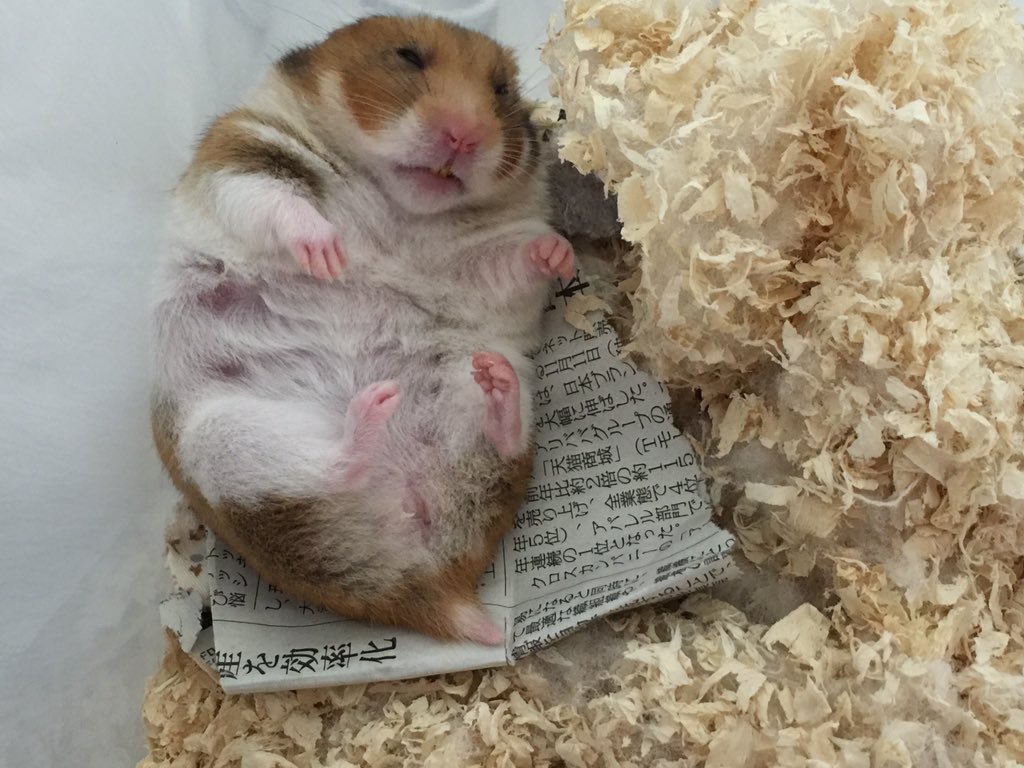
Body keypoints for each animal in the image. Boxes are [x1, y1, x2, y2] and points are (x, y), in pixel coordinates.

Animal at [150, 15, 574, 645]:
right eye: (408, 56)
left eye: (501, 89)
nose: (466, 135)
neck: (396, 202)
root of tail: (432, 586)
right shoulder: (244, 151)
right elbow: (277, 204)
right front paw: (328, 256)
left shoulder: (471, 270)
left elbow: (515, 260)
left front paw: (561, 253)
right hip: (224, 441)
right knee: (335, 469)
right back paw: (372, 412)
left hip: (458, 390)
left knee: (498, 434)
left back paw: (492, 385)